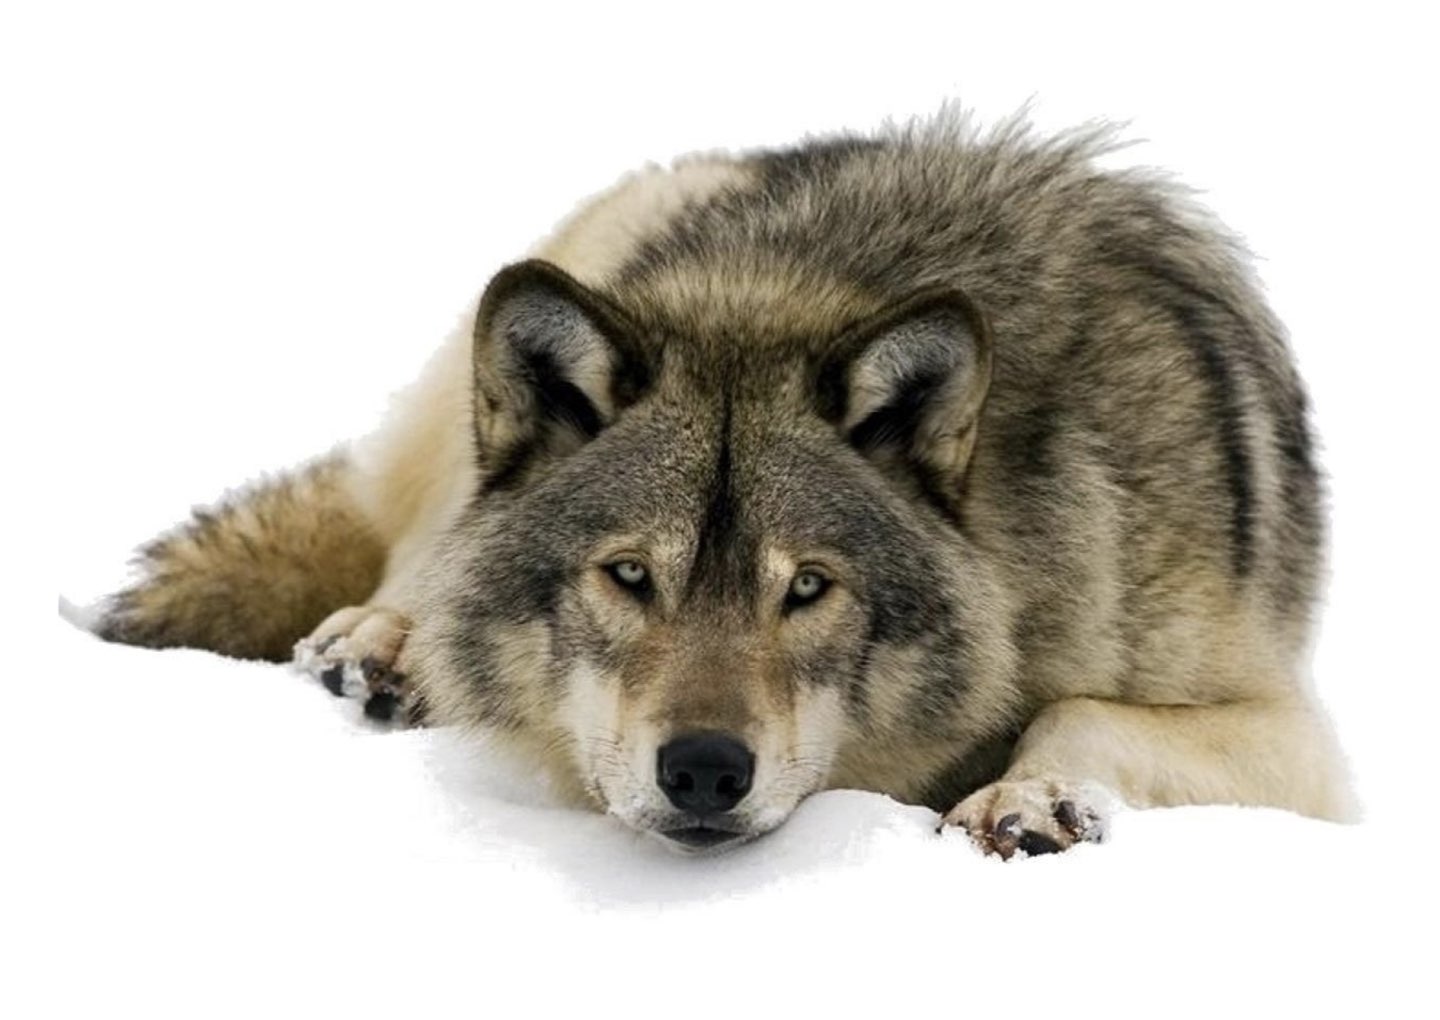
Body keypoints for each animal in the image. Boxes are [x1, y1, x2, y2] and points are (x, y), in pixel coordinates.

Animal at [98, 109, 1354, 857]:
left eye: (806, 589)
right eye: (627, 576)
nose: (704, 770)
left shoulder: (1301, 747)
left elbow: (1076, 708)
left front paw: (1026, 796)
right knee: (420, 545)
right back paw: (382, 647)